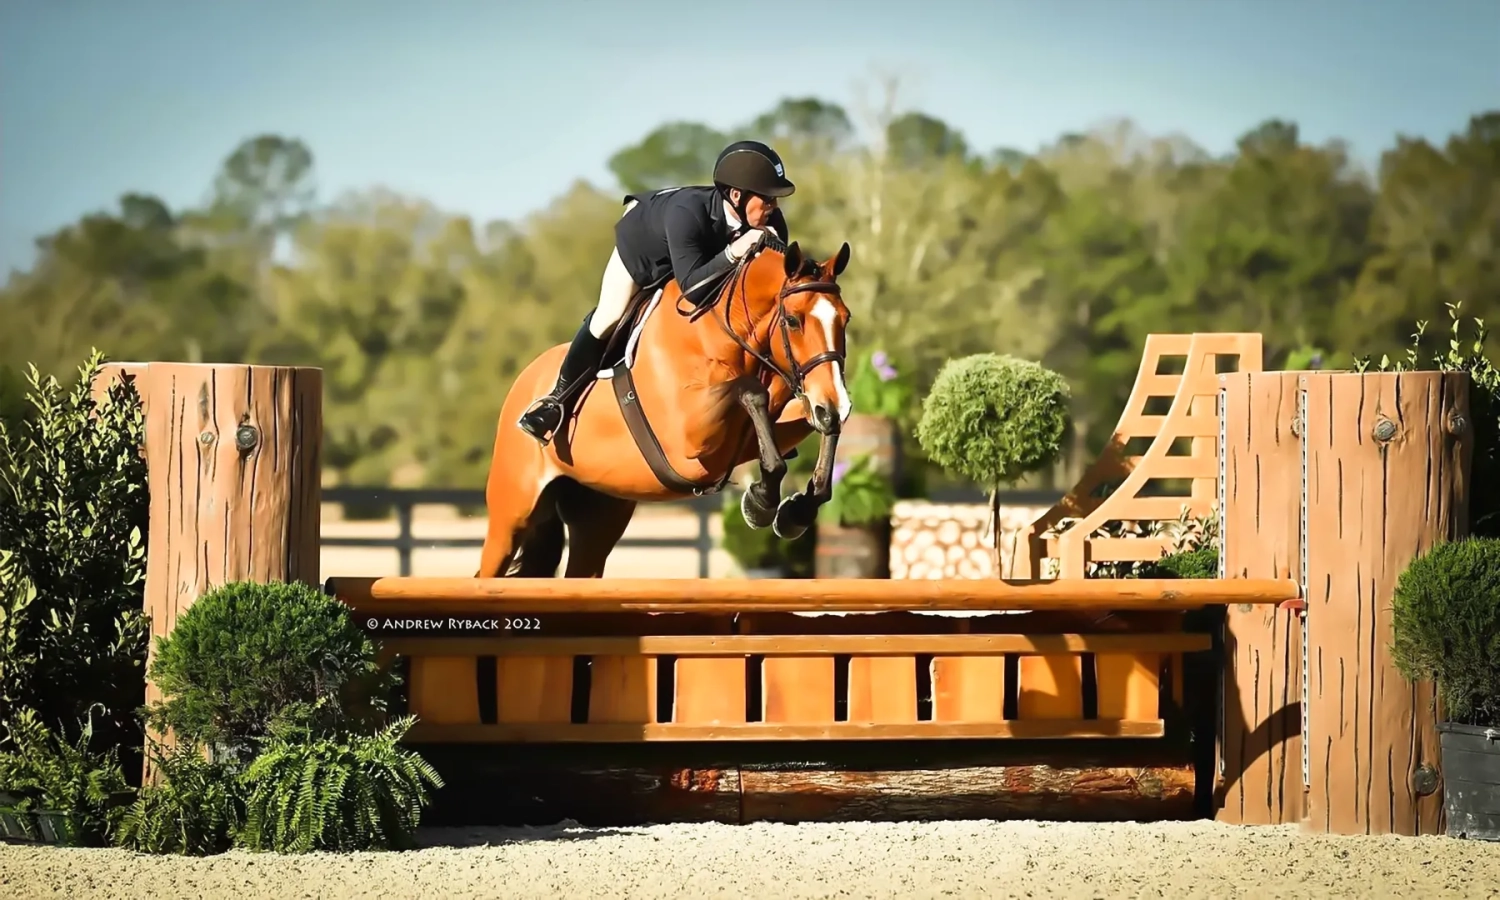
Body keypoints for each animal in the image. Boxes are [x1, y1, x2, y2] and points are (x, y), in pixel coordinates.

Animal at [475, 239, 854, 579]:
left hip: (597, 517)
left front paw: (798, 508)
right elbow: (751, 391)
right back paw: (543, 415)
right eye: (792, 320)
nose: (835, 403)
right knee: (489, 569)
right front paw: (761, 501)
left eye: (845, 319)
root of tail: (526, 378)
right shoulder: (691, 438)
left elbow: (815, 422)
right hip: (512, 515)